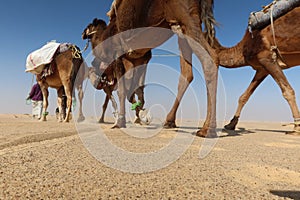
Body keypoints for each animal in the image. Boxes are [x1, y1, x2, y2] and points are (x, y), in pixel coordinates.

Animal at [83, 0, 217, 137]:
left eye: (89, 27)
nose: (83, 34)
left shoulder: (118, 54)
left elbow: (123, 90)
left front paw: (120, 122)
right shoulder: (140, 58)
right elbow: (136, 89)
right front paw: (140, 116)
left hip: (185, 15)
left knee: (210, 58)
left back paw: (207, 129)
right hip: (183, 27)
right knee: (188, 72)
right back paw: (173, 122)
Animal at [211, 6, 300, 134]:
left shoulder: (267, 58)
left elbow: (288, 91)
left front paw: (297, 127)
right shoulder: (262, 68)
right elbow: (244, 96)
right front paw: (231, 124)